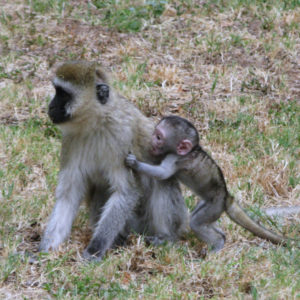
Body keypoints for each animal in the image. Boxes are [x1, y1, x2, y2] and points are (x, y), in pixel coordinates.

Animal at [39, 61, 189, 260]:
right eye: (57, 91)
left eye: (63, 94)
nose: (50, 107)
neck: (96, 122)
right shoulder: (71, 140)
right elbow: (68, 196)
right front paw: (44, 251)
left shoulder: (121, 135)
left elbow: (126, 192)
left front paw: (94, 250)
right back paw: (119, 241)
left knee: (161, 183)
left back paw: (166, 237)